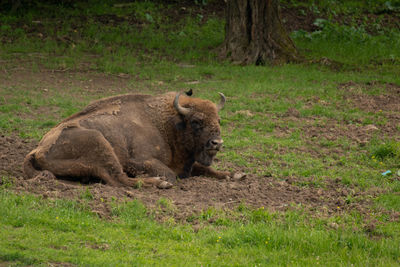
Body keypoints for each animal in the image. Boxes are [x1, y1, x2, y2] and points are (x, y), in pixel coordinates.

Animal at [23, 91, 239, 189]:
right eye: (195, 121)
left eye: (218, 120)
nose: (217, 143)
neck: (167, 124)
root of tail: (37, 150)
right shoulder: (139, 161)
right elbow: (170, 174)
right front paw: (164, 180)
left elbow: (205, 169)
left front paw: (236, 175)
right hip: (99, 142)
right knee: (119, 179)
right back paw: (160, 183)